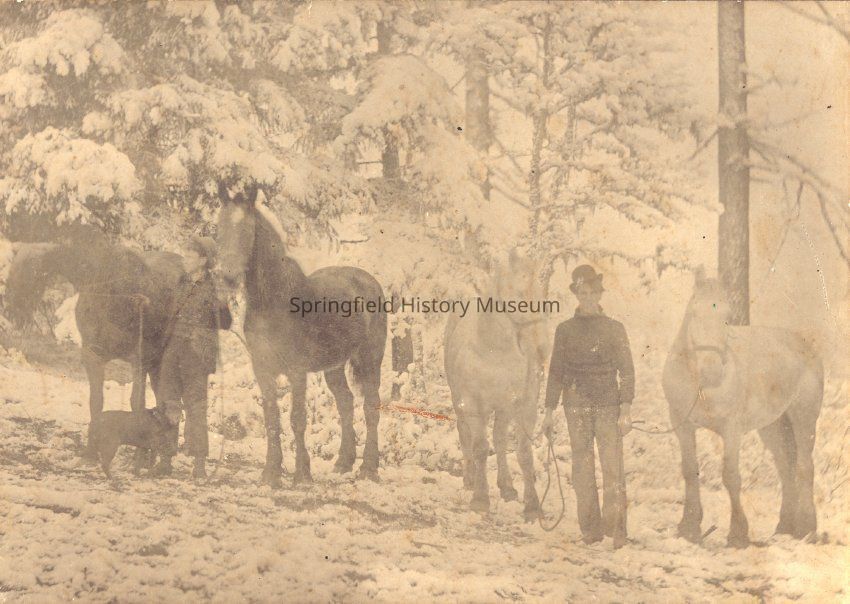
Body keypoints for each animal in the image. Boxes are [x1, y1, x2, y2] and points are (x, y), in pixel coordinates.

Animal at [4, 226, 184, 459]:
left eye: (30, 268)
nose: (12, 307)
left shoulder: (139, 359)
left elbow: (137, 403)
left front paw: (138, 456)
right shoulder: (93, 354)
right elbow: (96, 401)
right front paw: (91, 451)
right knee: (165, 400)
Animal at [216, 183, 387, 486]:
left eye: (247, 230)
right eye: (218, 229)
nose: (226, 277)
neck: (275, 302)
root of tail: (369, 281)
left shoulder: (296, 371)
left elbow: (297, 419)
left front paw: (302, 474)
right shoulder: (263, 370)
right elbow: (272, 419)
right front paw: (270, 473)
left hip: (370, 360)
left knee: (371, 407)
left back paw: (369, 468)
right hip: (334, 367)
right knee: (345, 403)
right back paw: (343, 462)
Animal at [443, 250, 551, 520]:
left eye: (543, 295)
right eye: (519, 294)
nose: (542, 349)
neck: (495, 351)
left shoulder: (524, 404)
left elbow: (524, 453)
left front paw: (532, 505)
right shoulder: (474, 405)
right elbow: (480, 447)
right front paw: (480, 499)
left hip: (503, 409)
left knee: (500, 439)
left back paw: (507, 486)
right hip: (460, 404)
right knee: (466, 435)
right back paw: (471, 479)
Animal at [662, 270, 823, 547]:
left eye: (727, 317)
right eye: (694, 312)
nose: (711, 371)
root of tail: (802, 343)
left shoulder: (731, 429)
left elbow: (731, 475)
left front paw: (738, 532)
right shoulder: (682, 425)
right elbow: (689, 470)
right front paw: (689, 527)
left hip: (804, 420)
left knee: (805, 467)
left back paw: (807, 528)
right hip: (772, 427)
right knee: (785, 468)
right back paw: (785, 526)